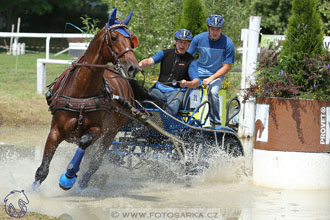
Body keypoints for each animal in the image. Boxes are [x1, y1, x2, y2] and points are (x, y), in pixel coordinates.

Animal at [32, 8, 141, 191]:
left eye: (131, 39)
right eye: (114, 37)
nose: (133, 67)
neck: (81, 94)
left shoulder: (99, 129)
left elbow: (84, 141)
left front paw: (68, 176)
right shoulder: (55, 130)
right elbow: (43, 168)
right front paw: (32, 190)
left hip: (111, 132)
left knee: (95, 162)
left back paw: (82, 184)